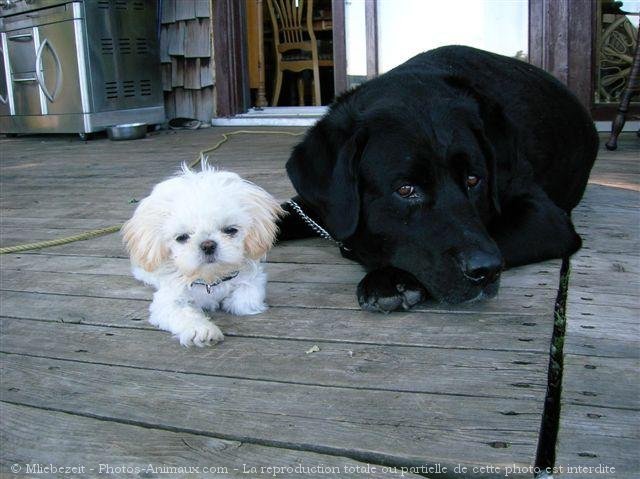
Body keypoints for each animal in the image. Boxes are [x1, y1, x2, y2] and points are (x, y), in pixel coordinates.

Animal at [124, 163, 284, 346]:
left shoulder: (254, 279)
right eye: (182, 237)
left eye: (230, 230)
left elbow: (245, 298)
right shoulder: (168, 300)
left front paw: (232, 303)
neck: (210, 280)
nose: (208, 245)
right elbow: (184, 313)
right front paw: (201, 330)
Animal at [280, 46, 600, 312]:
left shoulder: (546, 216)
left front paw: (391, 278)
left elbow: (498, 232)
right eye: (405, 189)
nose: (486, 270)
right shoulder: (321, 205)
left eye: (473, 179)